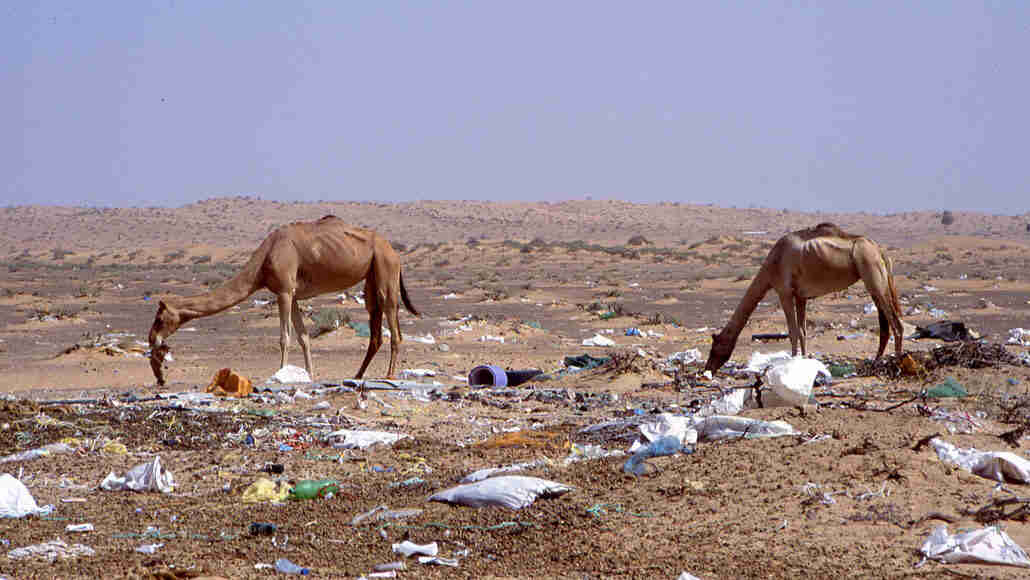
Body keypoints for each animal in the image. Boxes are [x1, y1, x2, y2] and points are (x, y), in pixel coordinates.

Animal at [146, 214, 418, 385]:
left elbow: (284, 337)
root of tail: (393, 250)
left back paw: (390, 375)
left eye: (159, 319)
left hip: (385, 268)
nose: (152, 339)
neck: (263, 261)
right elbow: (304, 337)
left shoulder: (284, 291)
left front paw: (279, 374)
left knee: (392, 319)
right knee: (375, 324)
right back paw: (358, 375)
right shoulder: (293, 294)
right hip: (372, 275)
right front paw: (309, 375)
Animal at [704, 222, 906, 372]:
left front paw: (791, 364)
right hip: (876, 281)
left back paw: (897, 365)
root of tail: (880, 251)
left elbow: (793, 331)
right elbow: (802, 331)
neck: (771, 265)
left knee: (896, 324)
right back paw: (876, 362)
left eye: (715, 347)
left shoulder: (784, 292)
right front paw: (802, 362)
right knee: (885, 325)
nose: (707, 368)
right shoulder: (801, 296)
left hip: (872, 273)